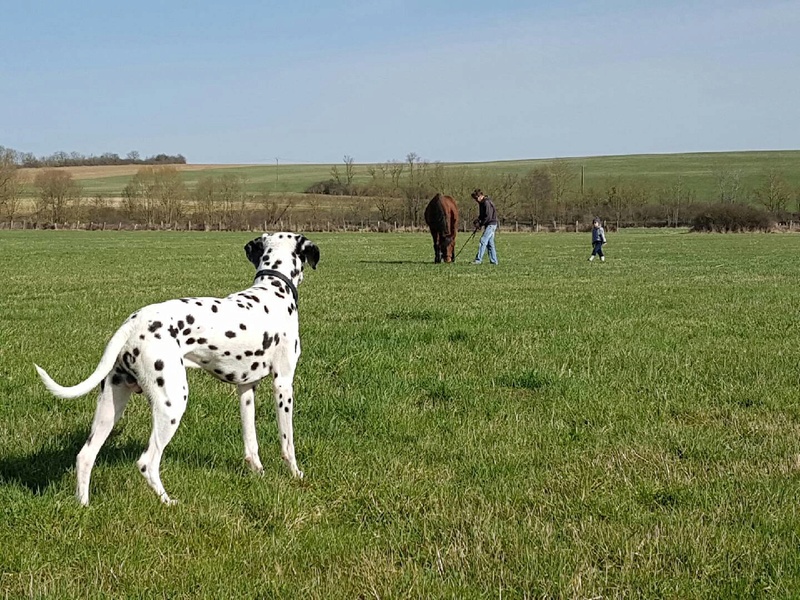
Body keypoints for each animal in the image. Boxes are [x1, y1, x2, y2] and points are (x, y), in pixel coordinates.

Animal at [33, 232, 322, 504]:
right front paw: (296, 474)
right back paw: (168, 501)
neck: (274, 291)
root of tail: (133, 323)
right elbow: (287, 441)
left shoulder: (246, 388)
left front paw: (258, 473)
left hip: (110, 406)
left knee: (85, 455)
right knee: (147, 462)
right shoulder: (283, 383)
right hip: (172, 403)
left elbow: (251, 442)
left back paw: (83, 505)